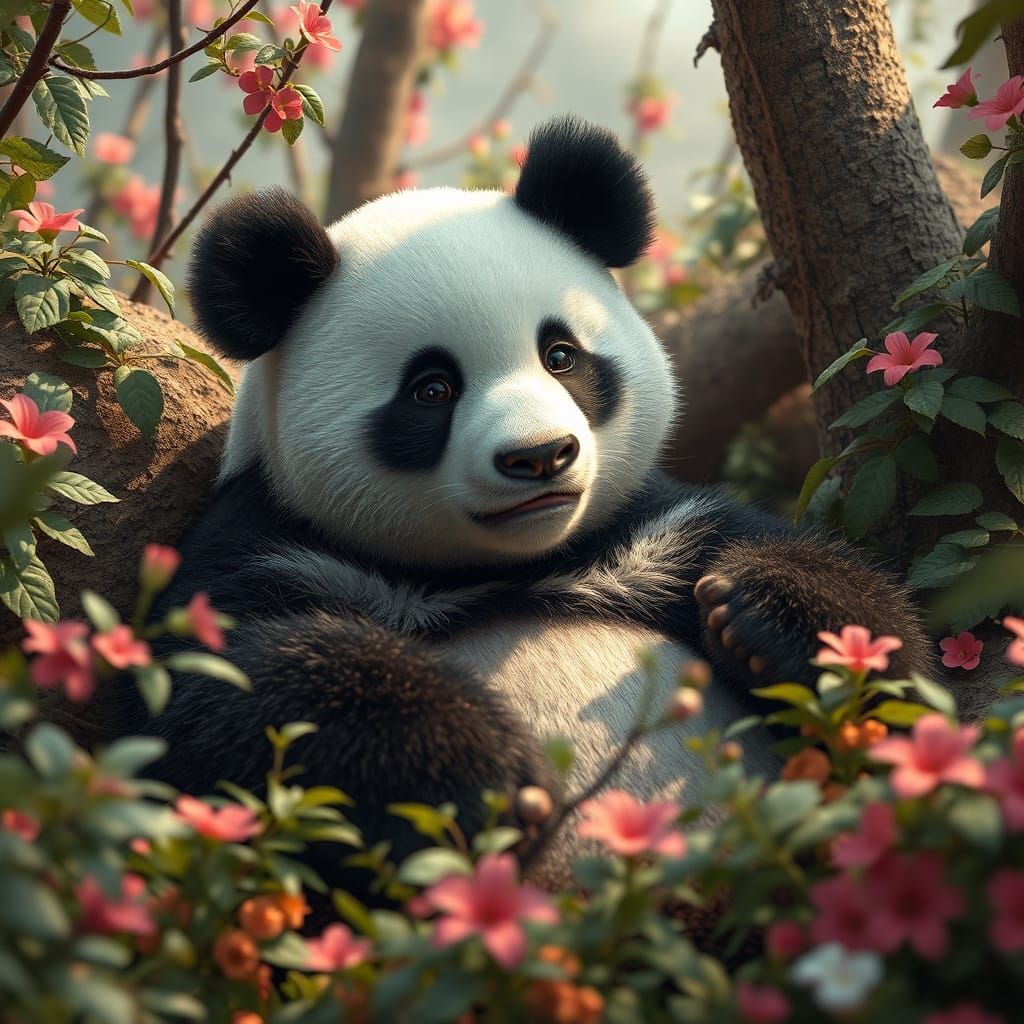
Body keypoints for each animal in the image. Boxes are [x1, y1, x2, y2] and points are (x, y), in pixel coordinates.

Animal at [118, 116, 928, 885]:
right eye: (432, 389)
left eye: (561, 356)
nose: (540, 455)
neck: (506, 568)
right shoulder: (268, 543)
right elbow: (211, 695)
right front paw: (480, 767)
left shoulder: (646, 530)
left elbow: (893, 659)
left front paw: (765, 613)